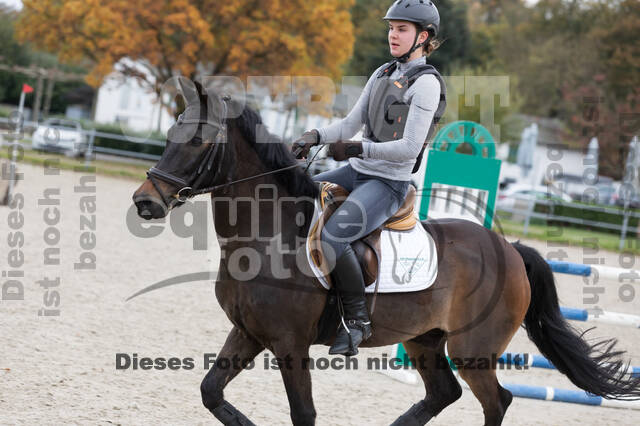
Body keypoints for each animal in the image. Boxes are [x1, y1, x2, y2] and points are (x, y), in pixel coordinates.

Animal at [131, 81, 640, 424]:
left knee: (496, 400)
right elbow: (210, 391)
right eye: (170, 134)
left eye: (198, 140)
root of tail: (511, 250)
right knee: (443, 394)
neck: (267, 236)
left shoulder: (290, 344)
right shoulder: (249, 333)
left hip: (473, 349)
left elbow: (303, 413)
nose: (145, 202)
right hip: (425, 339)